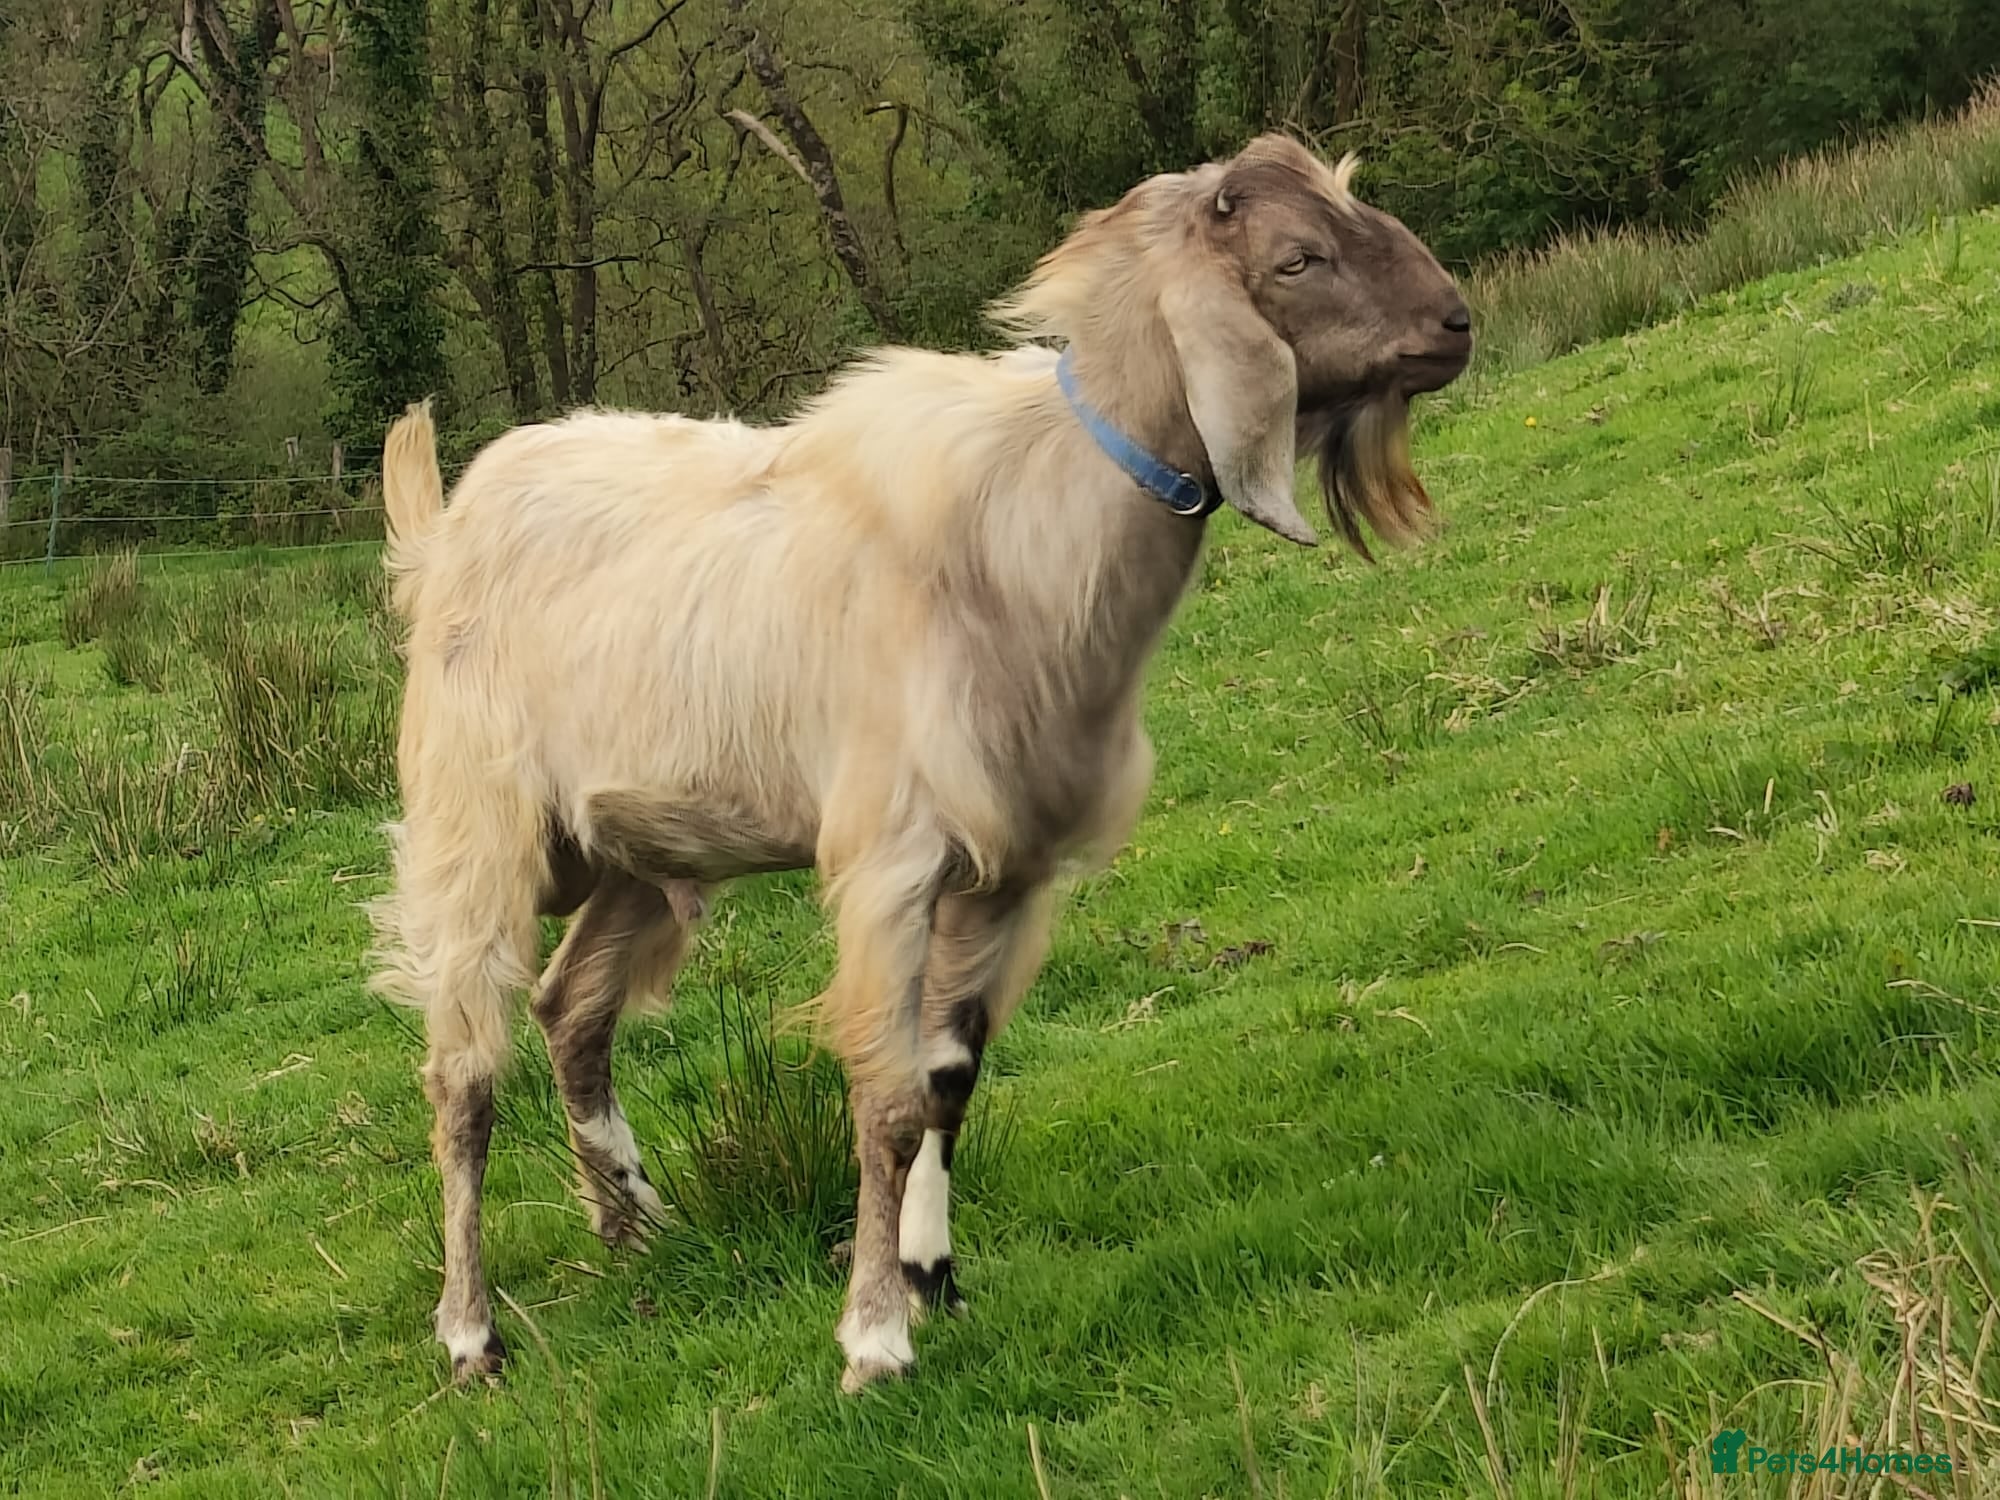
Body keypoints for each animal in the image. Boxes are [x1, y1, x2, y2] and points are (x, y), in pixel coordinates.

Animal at [371, 133, 1471, 1393]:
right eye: (1296, 258)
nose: (1454, 322)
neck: (1043, 529)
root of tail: (439, 532)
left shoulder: (1009, 868)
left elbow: (951, 1075)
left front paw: (931, 1276)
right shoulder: (892, 863)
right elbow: (887, 1098)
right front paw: (873, 1338)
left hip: (640, 847)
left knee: (570, 1009)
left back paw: (630, 1219)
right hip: (475, 825)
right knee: (463, 1072)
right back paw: (471, 1333)